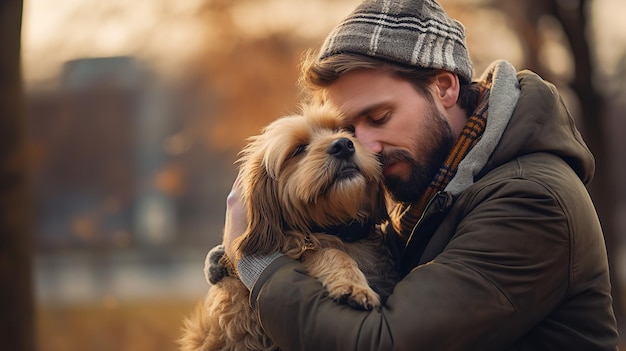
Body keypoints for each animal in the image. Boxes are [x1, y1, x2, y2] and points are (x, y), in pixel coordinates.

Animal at [178, 104, 398, 351]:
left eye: (345, 130)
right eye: (299, 149)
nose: (343, 145)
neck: (334, 228)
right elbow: (331, 253)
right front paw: (353, 286)